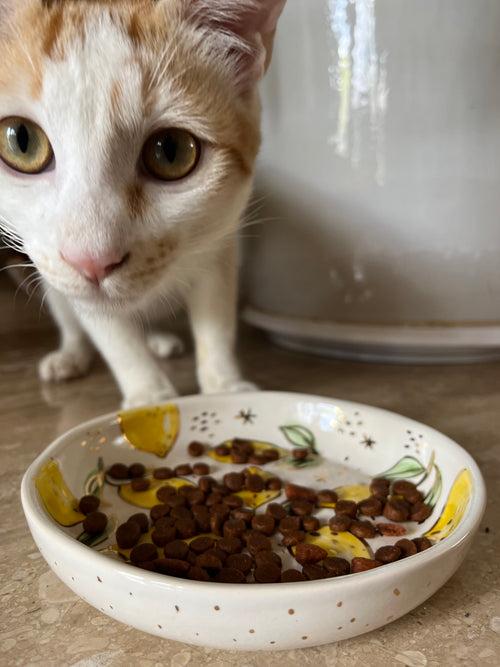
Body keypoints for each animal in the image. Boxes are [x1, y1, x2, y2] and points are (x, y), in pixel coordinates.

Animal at [0, 0, 286, 410]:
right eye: (21, 141)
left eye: (171, 151)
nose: (92, 260)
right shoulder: (63, 273)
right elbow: (114, 336)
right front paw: (149, 396)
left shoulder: (220, 243)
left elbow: (216, 320)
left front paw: (224, 385)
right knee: (70, 319)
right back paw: (71, 355)